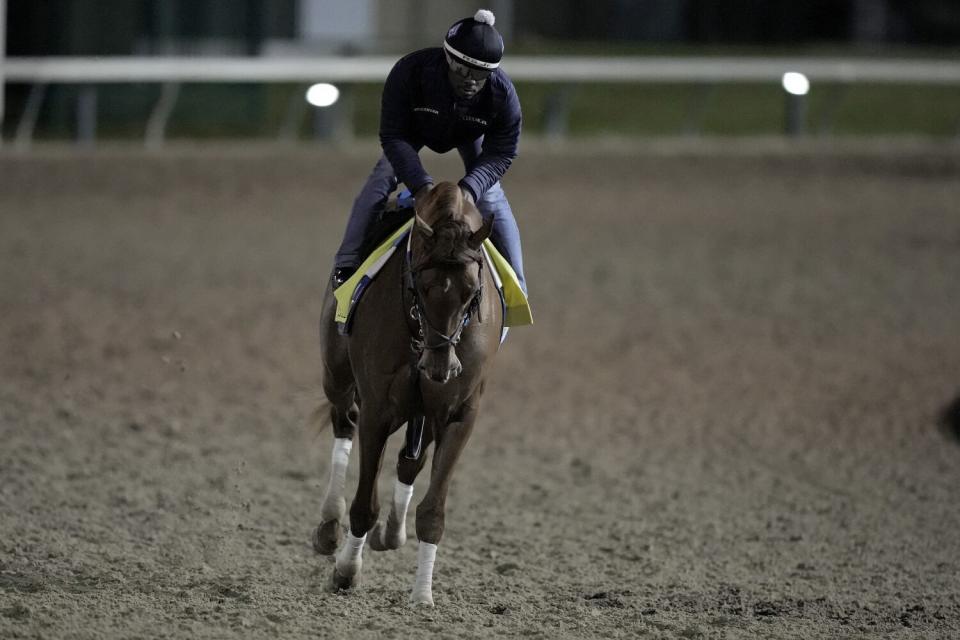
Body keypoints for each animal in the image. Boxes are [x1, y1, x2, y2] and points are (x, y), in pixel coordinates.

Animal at [312, 181, 502, 604]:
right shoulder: (378, 409)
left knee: (408, 461)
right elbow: (363, 505)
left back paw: (392, 532)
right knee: (343, 424)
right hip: (337, 377)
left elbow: (432, 510)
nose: (440, 366)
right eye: (422, 286)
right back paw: (329, 526)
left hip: (425, 411)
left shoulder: (458, 413)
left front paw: (422, 595)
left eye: (471, 291)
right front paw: (347, 571)